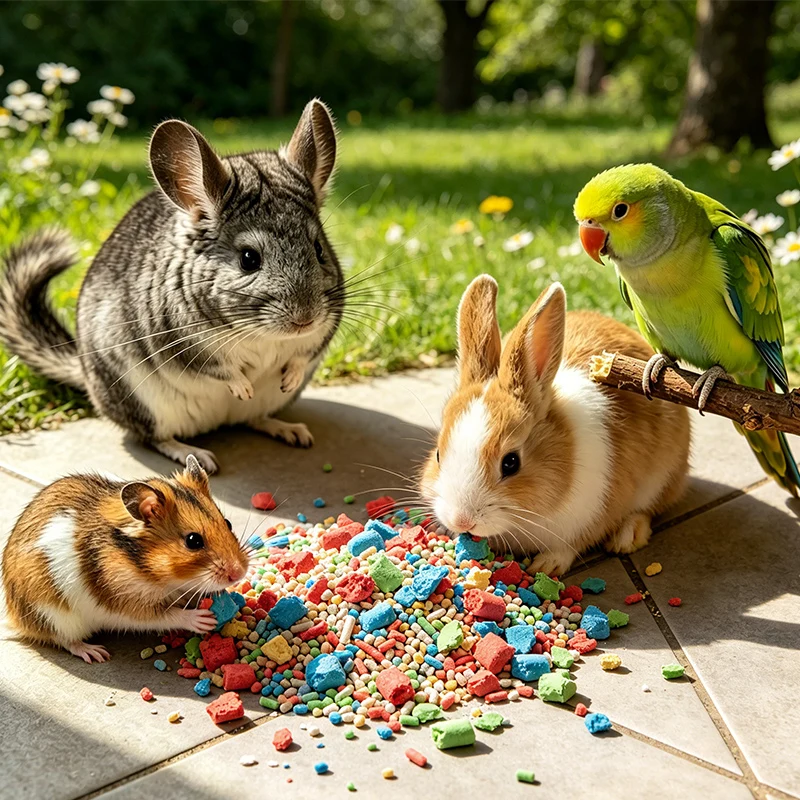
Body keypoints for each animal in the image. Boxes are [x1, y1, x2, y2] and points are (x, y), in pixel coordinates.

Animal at [0, 99, 344, 473]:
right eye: (249, 258)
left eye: (319, 249)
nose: (305, 319)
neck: (260, 333)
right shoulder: (181, 338)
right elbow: (218, 368)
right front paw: (242, 386)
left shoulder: (326, 327)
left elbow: (302, 353)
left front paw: (290, 374)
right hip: (144, 405)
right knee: (154, 438)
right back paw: (195, 454)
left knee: (253, 419)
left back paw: (287, 428)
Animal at [1, 455, 249, 663]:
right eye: (193, 541)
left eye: (228, 523)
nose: (239, 573)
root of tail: (14, 618)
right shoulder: (129, 604)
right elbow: (167, 616)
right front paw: (204, 619)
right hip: (54, 616)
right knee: (64, 639)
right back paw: (95, 653)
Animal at [420, 275, 691, 575]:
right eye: (438, 455)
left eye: (511, 463)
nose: (462, 520)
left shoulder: (590, 514)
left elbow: (571, 545)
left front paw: (546, 566)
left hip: (663, 475)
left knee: (649, 508)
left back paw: (627, 537)